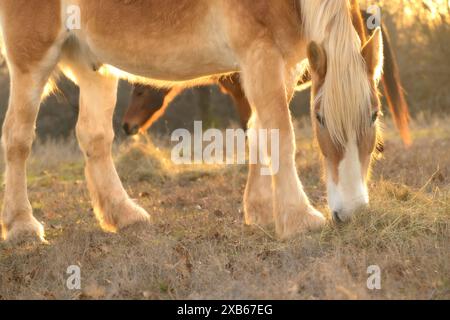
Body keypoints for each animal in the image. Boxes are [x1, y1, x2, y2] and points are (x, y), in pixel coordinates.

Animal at [0, 0, 384, 242]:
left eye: (375, 114)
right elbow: (280, 134)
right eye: (320, 118)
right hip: (32, 61)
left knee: (94, 138)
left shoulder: (281, 67)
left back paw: (124, 215)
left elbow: (261, 132)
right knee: (18, 138)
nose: (351, 213)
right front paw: (299, 219)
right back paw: (22, 226)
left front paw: (261, 211)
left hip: (93, 67)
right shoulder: (261, 57)